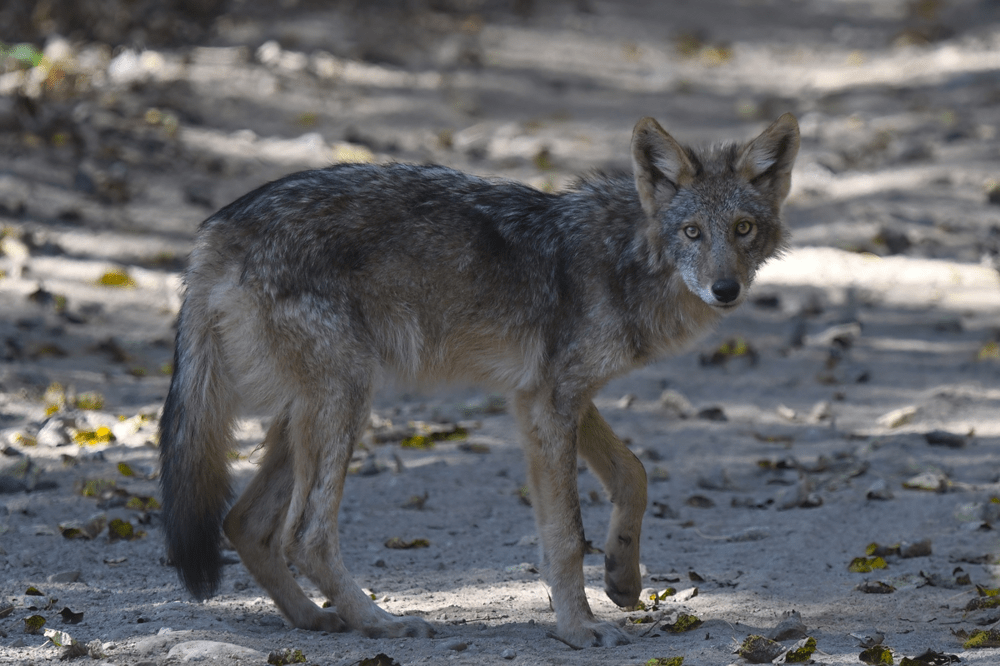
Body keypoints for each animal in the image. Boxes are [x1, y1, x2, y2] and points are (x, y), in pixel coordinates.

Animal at [160, 113, 800, 644]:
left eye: (743, 229)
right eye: (692, 232)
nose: (725, 290)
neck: (625, 258)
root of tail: (217, 228)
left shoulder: (545, 396)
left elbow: (633, 473)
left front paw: (623, 578)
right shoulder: (549, 403)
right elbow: (566, 533)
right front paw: (579, 629)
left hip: (310, 415)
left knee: (244, 523)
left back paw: (317, 619)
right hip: (348, 400)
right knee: (305, 535)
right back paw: (379, 623)